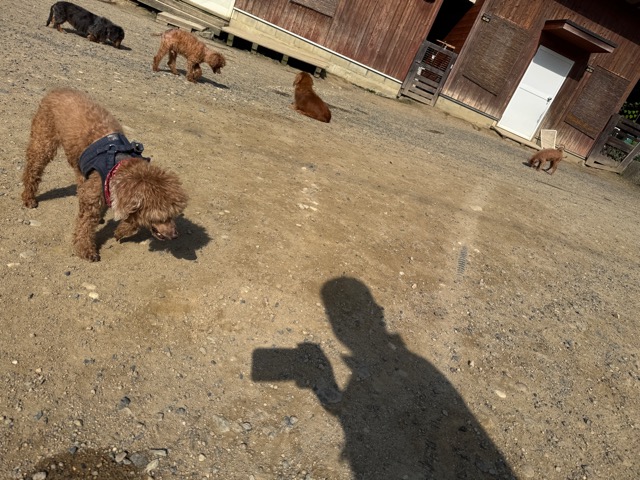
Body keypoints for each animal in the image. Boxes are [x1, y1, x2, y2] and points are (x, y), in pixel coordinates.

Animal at [21, 88, 188, 262]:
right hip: (44, 140)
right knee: (33, 169)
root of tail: (56, 90)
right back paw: (29, 197)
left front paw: (121, 231)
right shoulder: (93, 198)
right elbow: (86, 224)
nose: (175, 235)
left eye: (173, 214)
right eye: (162, 217)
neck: (118, 164)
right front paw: (85, 249)